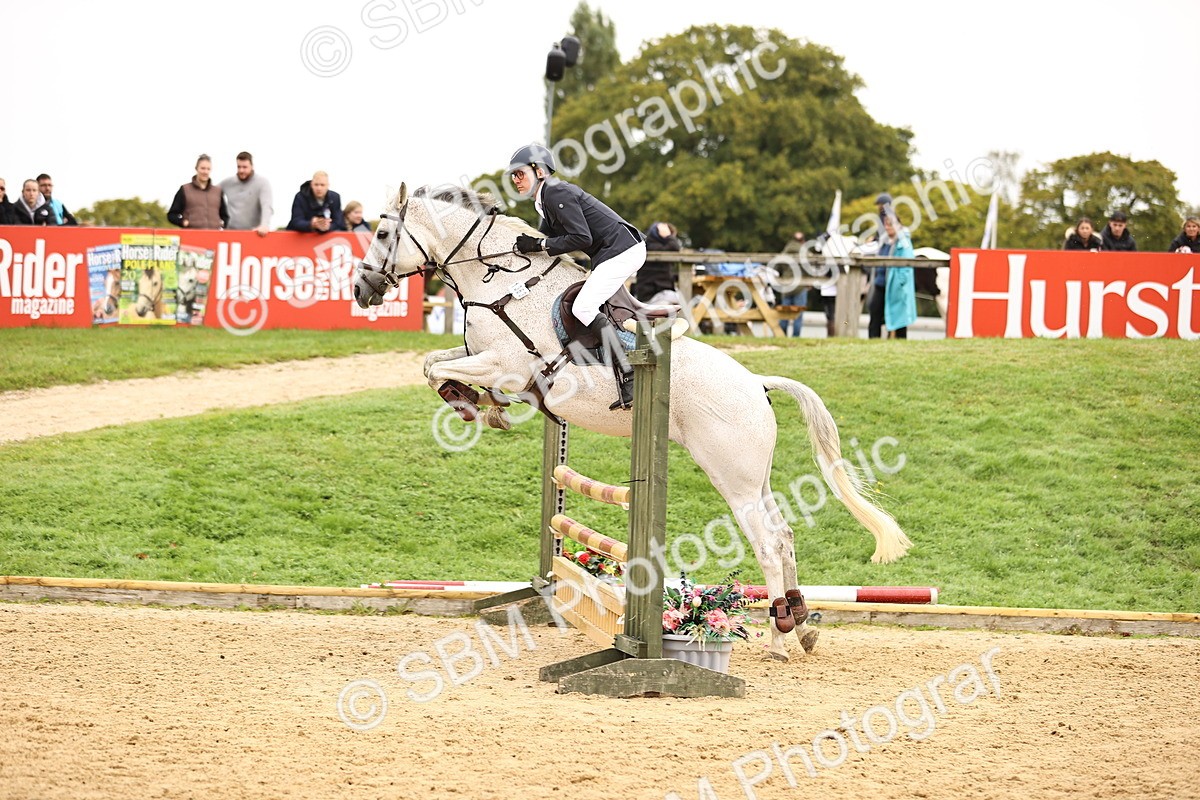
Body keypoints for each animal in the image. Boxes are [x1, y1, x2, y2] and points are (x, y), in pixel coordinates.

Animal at [353, 184, 912, 661]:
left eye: (381, 234)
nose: (361, 290)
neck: (502, 283)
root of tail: (756, 383)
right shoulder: (482, 357)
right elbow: (432, 363)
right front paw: (480, 404)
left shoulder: (503, 364)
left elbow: (439, 370)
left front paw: (476, 405)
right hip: (755, 476)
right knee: (786, 534)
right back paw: (801, 628)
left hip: (731, 477)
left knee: (769, 545)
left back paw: (777, 640)